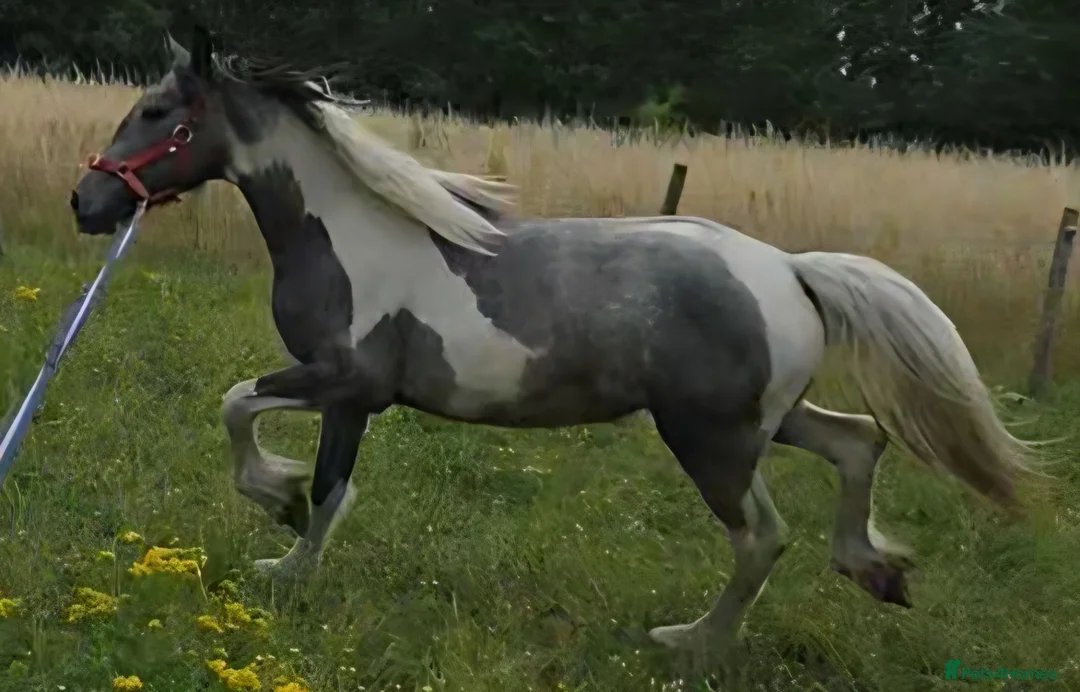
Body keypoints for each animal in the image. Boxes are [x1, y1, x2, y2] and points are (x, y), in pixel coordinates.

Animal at [69, 28, 1035, 660]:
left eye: (157, 110)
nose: (89, 203)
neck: (350, 235)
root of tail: (791, 270)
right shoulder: (354, 399)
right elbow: (331, 485)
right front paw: (290, 555)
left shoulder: (341, 378)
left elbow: (242, 409)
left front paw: (275, 512)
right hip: (769, 418)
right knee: (859, 441)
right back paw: (877, 571)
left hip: (712, 439)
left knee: (762, 537)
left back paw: (690, 643)